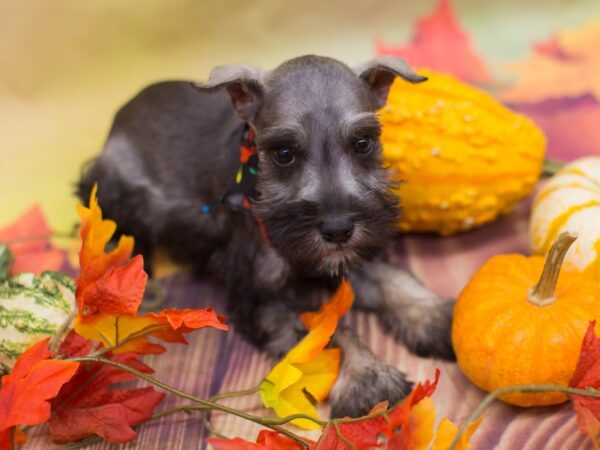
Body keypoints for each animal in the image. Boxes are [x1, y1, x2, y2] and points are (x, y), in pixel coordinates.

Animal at [78, 54, 454, 416]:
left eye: (363, 143)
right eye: (284, 153)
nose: (338, 229)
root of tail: (124, 110)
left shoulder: (356, 250)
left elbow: (393, 280)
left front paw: (439, 319)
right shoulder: (260, 299)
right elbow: (327, 333)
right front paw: (367, 376)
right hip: (116, 190)